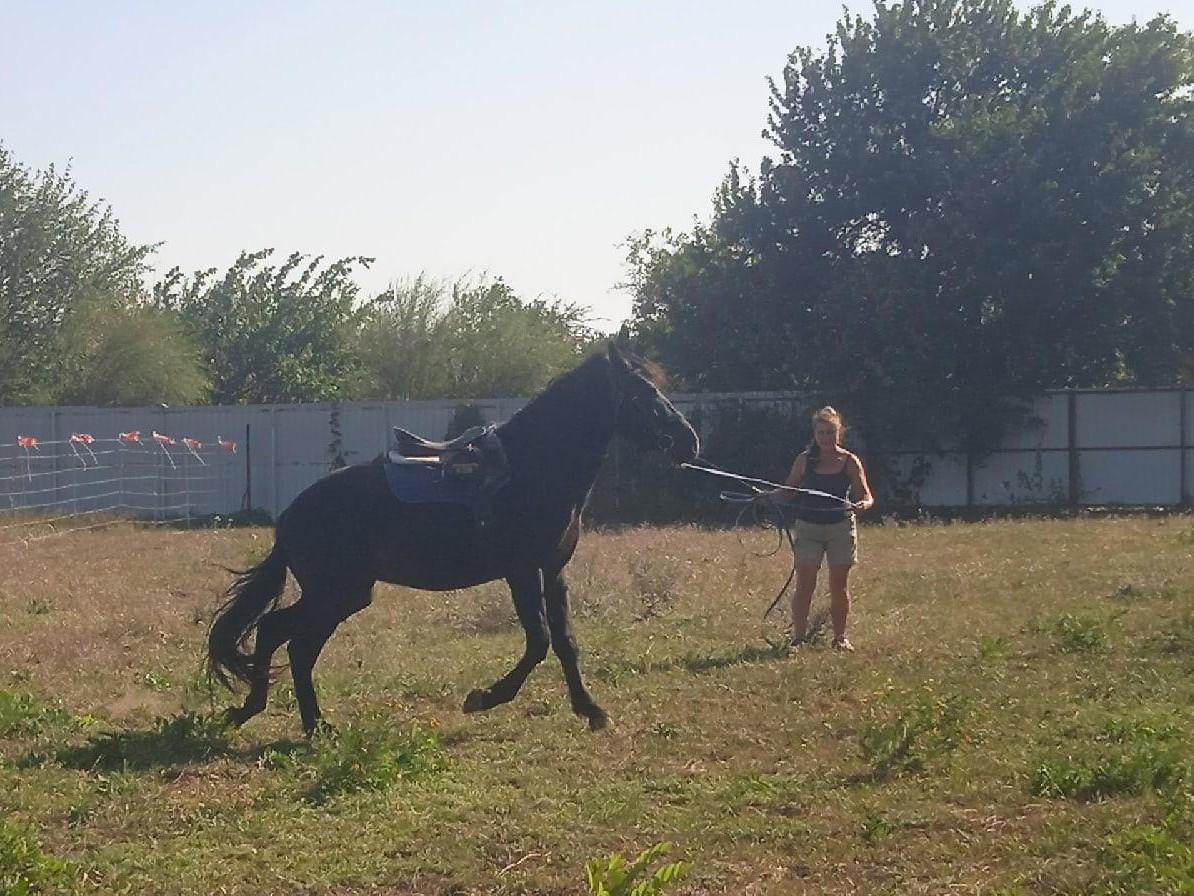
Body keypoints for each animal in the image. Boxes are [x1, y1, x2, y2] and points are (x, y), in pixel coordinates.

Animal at [206, 344, 697, 735]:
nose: (688, 442)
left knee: (280, 635)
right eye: (643, 392)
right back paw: (309, 723)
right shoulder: (521, 571)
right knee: (291, 641)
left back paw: (271, 714)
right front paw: (485, 698)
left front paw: (590, 709)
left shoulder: (553, 569)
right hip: (337, 594)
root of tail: (292, 515)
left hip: (340, 595)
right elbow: (538, 640)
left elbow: (564, 641)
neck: (532, 469)